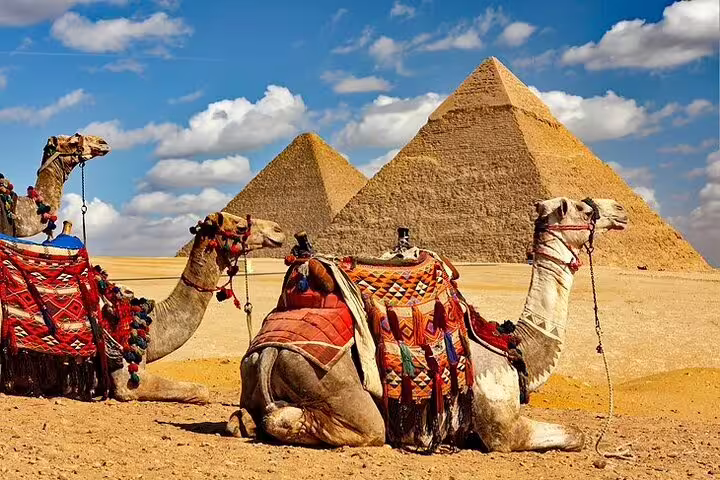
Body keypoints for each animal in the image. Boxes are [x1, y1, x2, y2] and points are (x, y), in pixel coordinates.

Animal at [232, 196, 628, 452]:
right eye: (581, 207)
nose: (620, 209)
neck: (513, 344)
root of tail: (267, 351)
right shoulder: (501, 429)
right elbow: (576, 434)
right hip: (333, 385)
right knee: (348, 426)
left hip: (254, 376)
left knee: (245, 418)